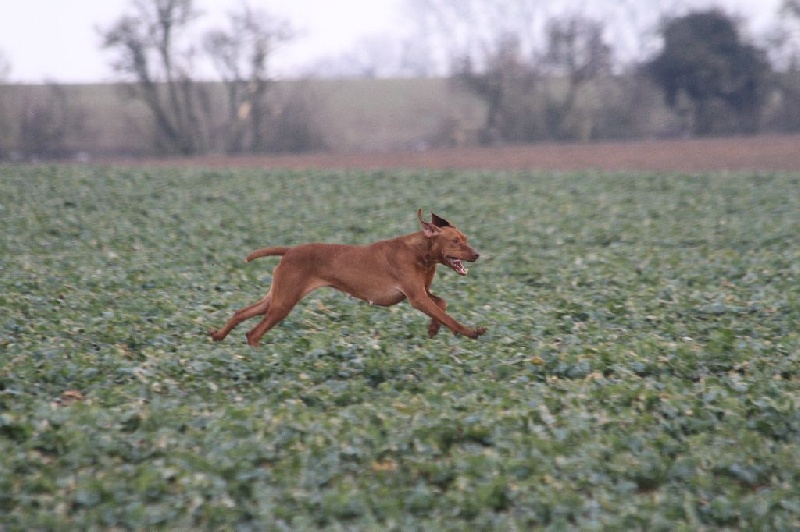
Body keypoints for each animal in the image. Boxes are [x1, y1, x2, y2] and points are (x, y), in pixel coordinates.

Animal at [209, 210, 484, 348]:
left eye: (466, 238)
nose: (477, 254)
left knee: (241, 313)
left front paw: (433, 329)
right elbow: (447, 316)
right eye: (455, 241)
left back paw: (219, 336)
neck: (420, 253)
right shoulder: (416, 297)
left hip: (276, 297)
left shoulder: (422, 293)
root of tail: (290, 251)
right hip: (284, 302)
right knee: (254, 333)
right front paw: (470, 332)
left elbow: (442, 304)